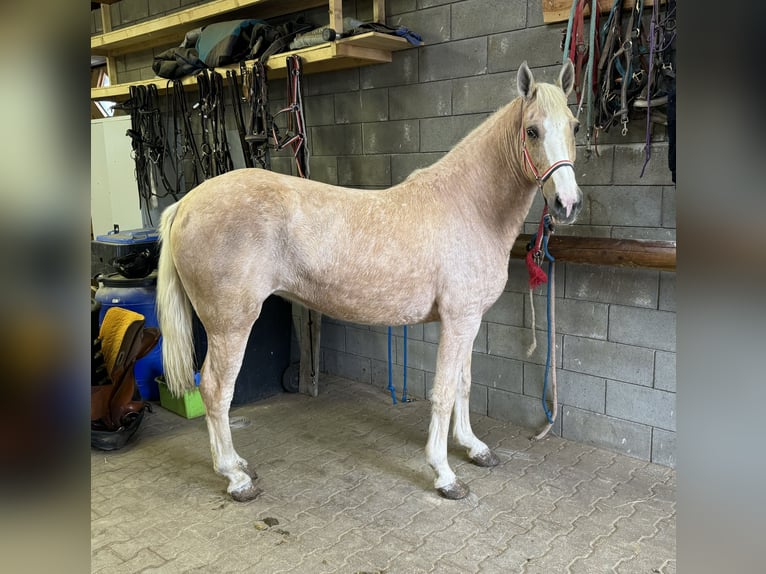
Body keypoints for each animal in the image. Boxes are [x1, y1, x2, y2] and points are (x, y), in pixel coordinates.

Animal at [159, 60, 584, 502]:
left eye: (574, 125)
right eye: (532, 130)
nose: (567, 204)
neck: (470, 206)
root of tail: (185, 204)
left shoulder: (469, 320)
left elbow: (464, 384)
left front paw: (474, 448)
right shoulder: (457, 319)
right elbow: (443, 391)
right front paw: (444, 474)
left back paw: (240, 466)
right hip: (230, 324)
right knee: (215, 389)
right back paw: (235, 478)